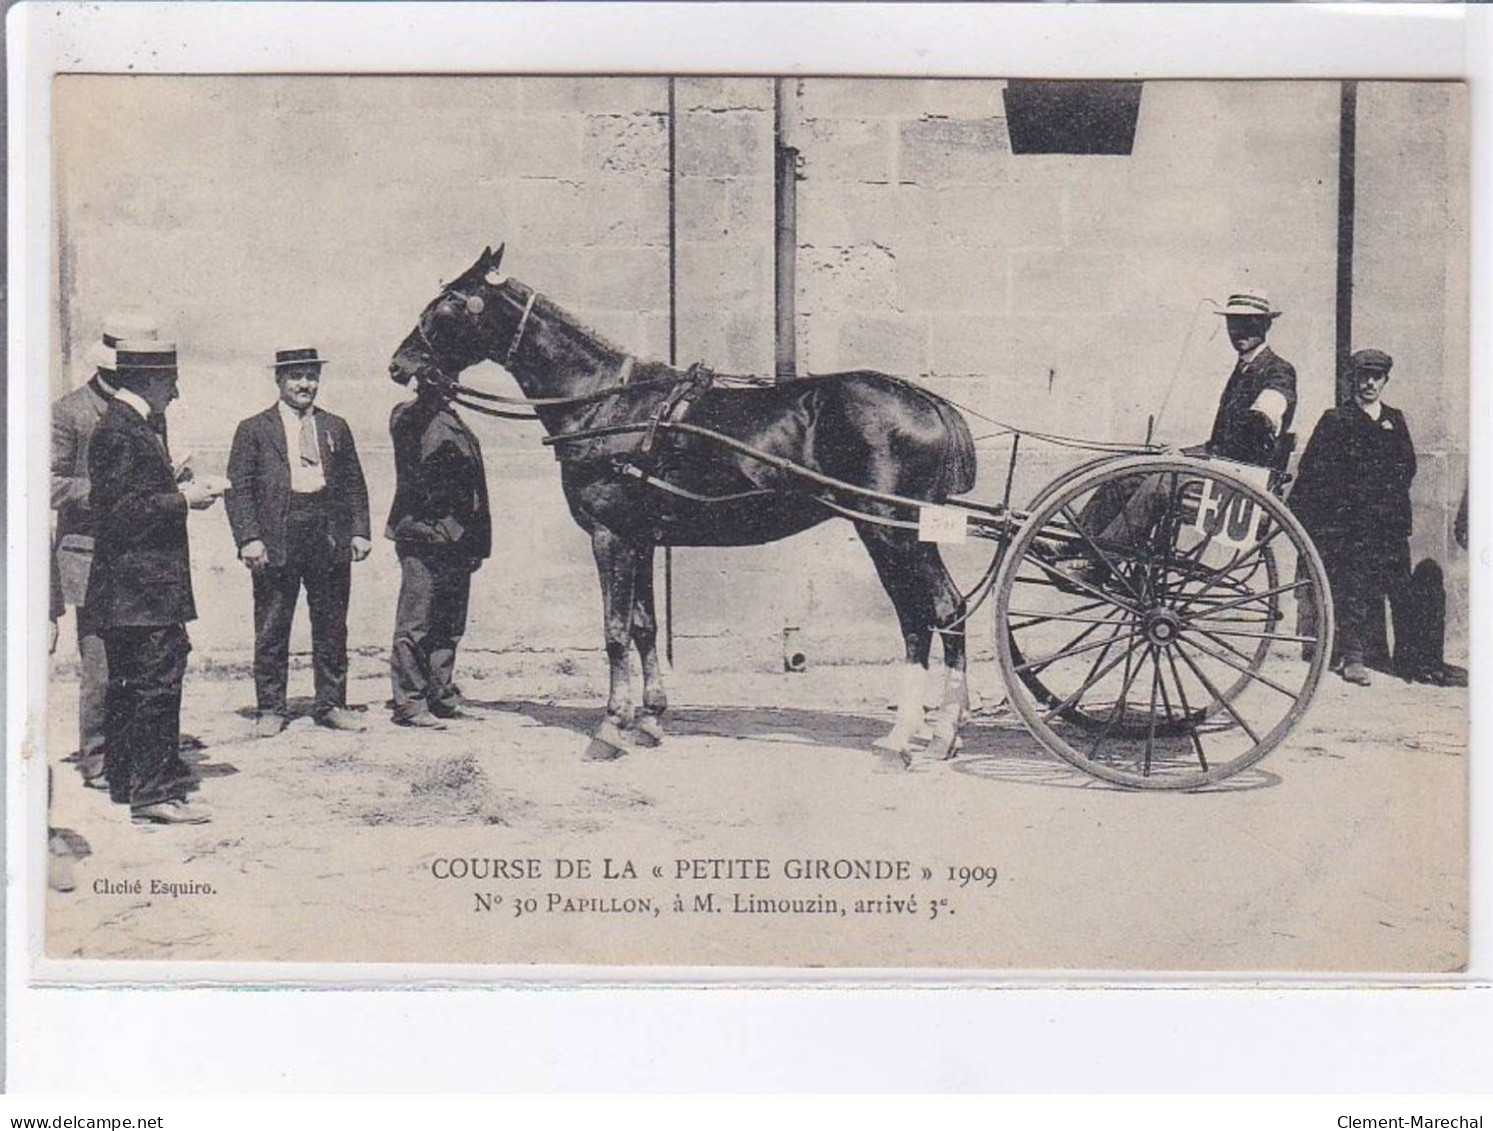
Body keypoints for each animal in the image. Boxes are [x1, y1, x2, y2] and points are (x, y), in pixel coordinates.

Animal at [388, 243, 979, 763]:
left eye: (449, 302)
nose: (399, 364)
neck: (607, 404)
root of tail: (928, 402)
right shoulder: (643, 537)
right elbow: (645, 626)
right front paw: (648, 719)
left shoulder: (610, 535)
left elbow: (614, 630)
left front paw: (610, 727)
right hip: (905, 533)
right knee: (940, 612)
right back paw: (937, 733)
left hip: (887, 530)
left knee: (924, 614)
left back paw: (912, 737)